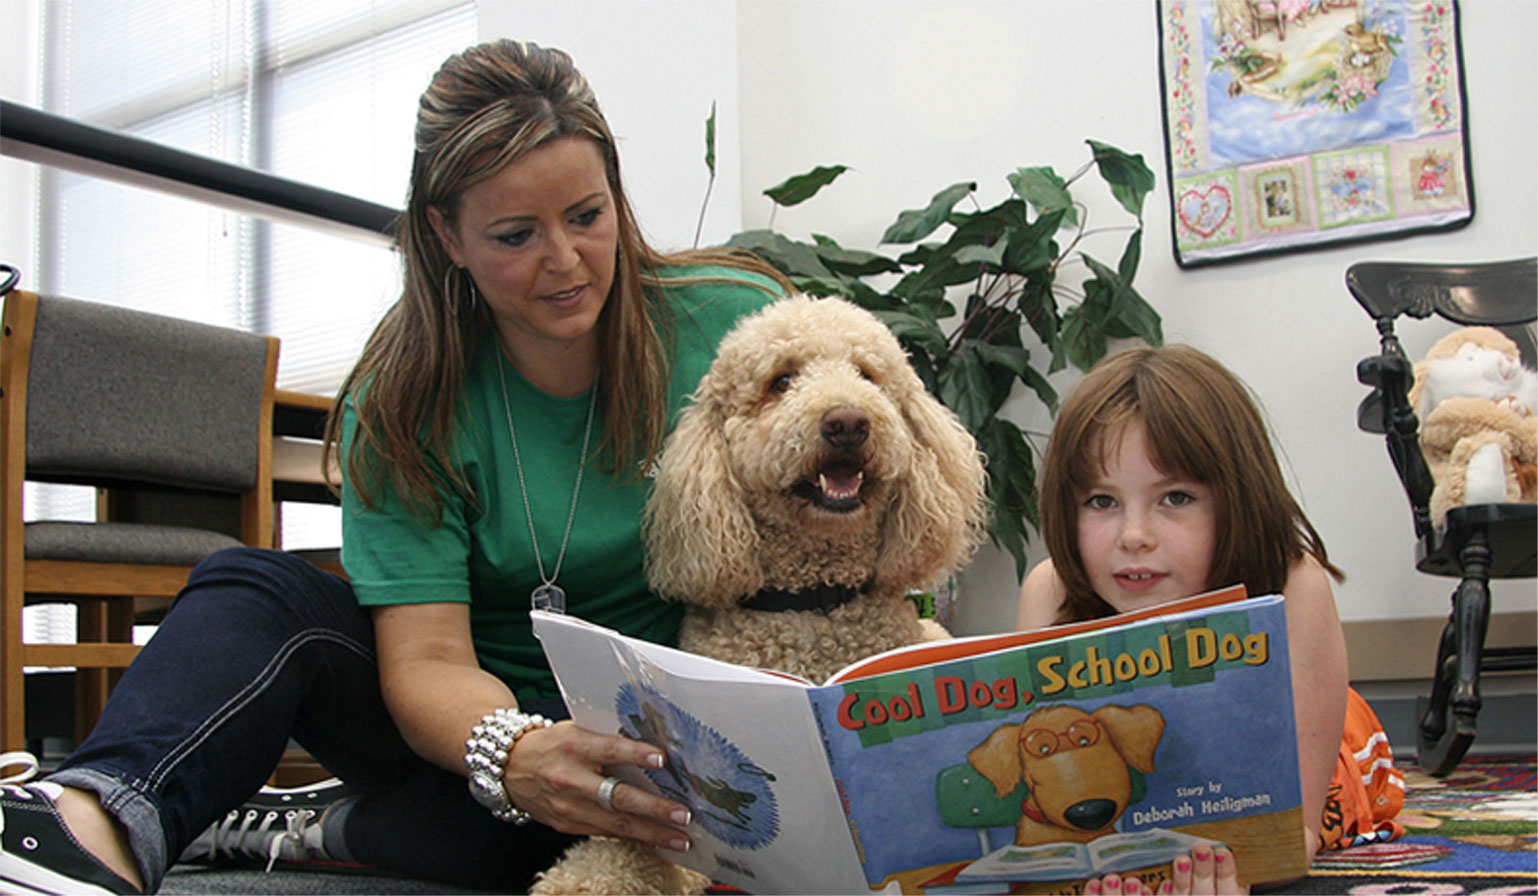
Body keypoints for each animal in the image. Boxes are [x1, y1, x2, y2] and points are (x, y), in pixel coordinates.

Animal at [529, 296, 984, 896]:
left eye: (868, 375)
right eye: (781, 381)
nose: (847, 422)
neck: (812, 600)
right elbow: (642, 841)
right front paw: (580, 878)